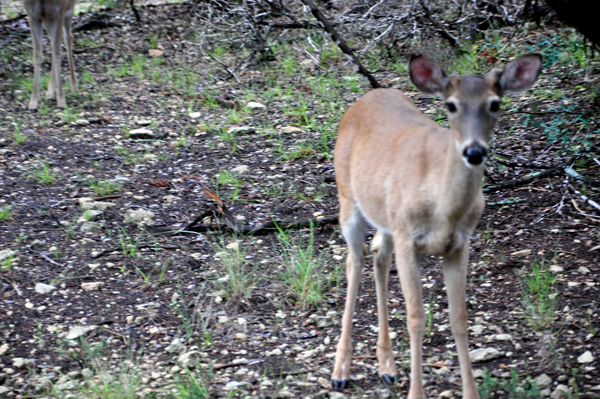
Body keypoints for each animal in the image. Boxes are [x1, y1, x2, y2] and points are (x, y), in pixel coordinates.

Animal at [330, 54, 540, 399]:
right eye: (451, 105)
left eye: (495, 104)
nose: (474, 151)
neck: (444, 211)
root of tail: (366, 97)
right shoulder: (408, 238)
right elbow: (416, 317)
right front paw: (416, 393)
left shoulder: (459, 243)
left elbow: (459, 317)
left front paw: (471, 393)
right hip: (348, 199)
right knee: (354, 261)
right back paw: (340, 372)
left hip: (387, 217)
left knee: (378, 255)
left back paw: (387, 367)